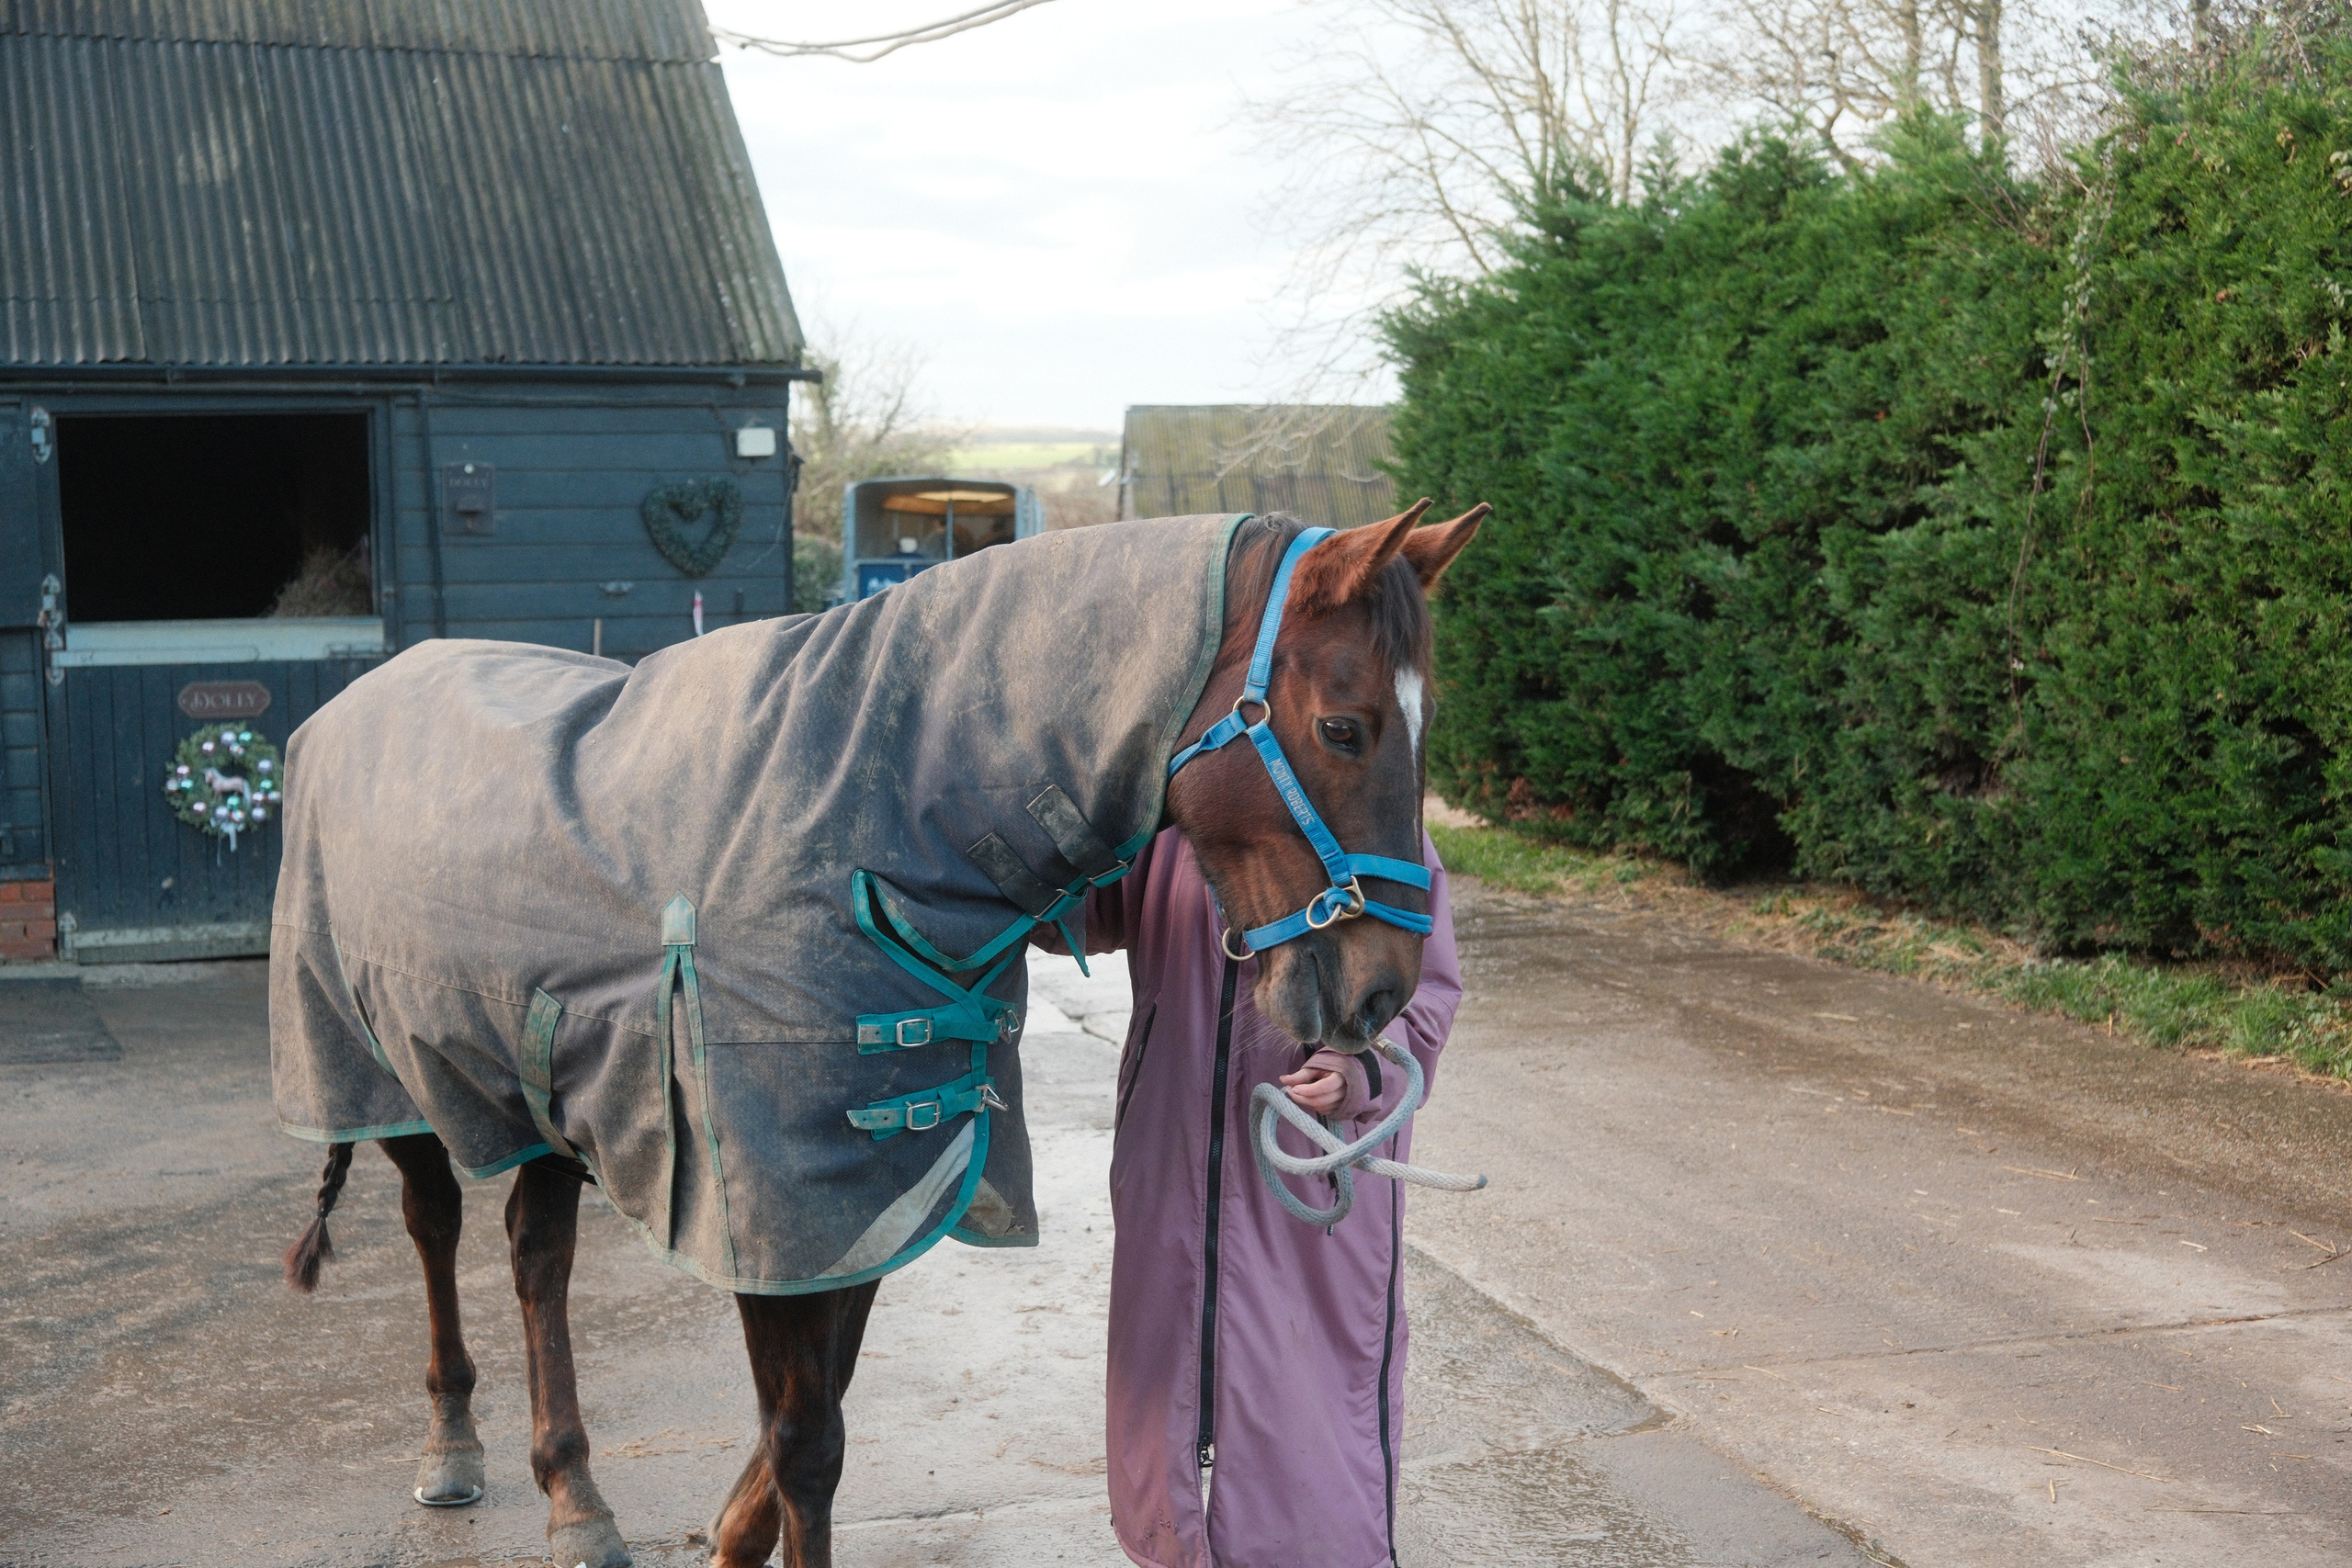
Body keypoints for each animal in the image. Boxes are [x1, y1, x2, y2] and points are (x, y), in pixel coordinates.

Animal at [272, 500, 1485, 1568]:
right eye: (1343, 726)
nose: (1382, 993)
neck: (867, 823)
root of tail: (352, 700)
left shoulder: (870, 1192)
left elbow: (810, 1412)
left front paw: (729, 1538)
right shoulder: (777, 1207)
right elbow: (810, 1447)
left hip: (542, 1087)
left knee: (536, 1253)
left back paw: (575, 1498)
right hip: (385, 1070)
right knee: (433, 1225)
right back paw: (452, 1445)